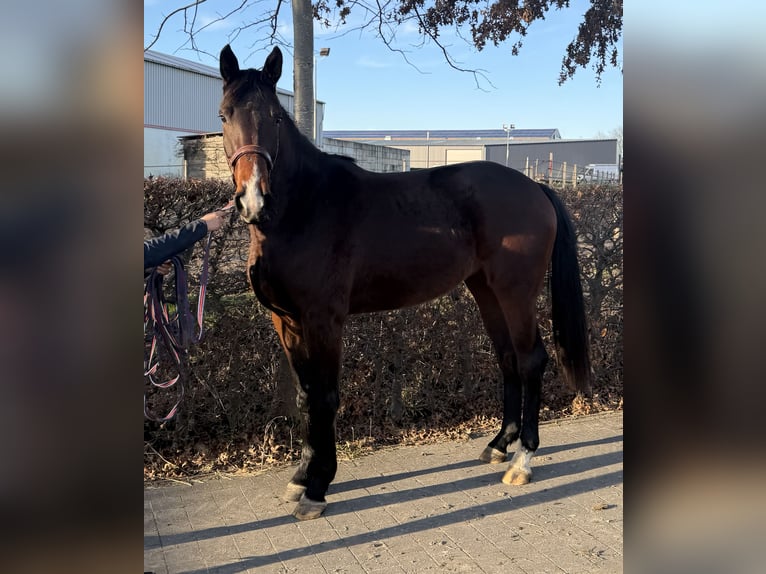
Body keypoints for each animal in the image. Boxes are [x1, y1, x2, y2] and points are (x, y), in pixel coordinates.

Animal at [218, 44, 591, 520]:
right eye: (224, 114)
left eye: (276, 119)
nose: (253, 198)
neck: (304, 209)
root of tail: (535, 187)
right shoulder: (286, 321)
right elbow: (305, 396)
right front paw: (300, 475)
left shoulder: (324, 320)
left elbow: (325, 397)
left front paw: (318, 487)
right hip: (486, 291)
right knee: (507, 358)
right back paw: (498, 445)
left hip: (516, 292)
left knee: (530, 361)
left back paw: (523, 460)